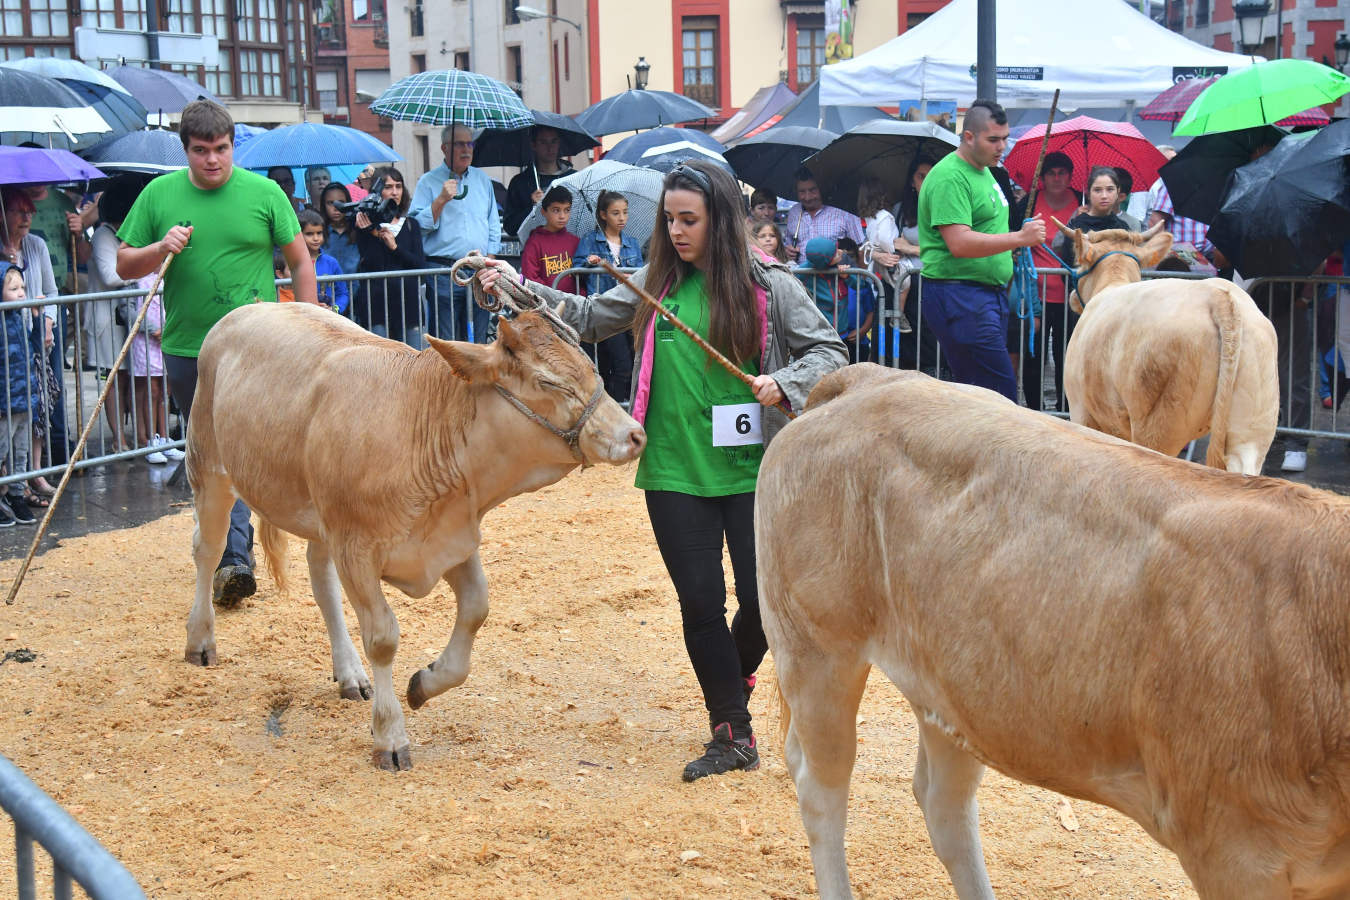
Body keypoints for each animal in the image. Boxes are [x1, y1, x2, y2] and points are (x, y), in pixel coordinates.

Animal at [187, 300, 645, 766]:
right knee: (208, 548)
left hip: (320, 515)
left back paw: (349, 673)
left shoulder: (453, 537)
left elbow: (476, 609)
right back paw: (201, 641)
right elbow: (383, 638)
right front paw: (390, 736)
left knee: (320, 578)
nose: (634, 434)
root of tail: (256, 305)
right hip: (208, 464)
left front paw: (425, 683)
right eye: (548, 382)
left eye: (589, 367)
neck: (420, 429)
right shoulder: (356, 549)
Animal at [761, 367, 1350, 900]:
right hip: (816, 647)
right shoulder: (1234, 849)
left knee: (942, 803)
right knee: (821, 788)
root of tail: (871, 377)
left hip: (952, 687)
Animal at [1053, 221, 1274, 474]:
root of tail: (1216, 297)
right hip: (1253, 425)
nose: (1071, 297)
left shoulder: (1080, 408)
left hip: (1157, 420)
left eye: (1078, 265)